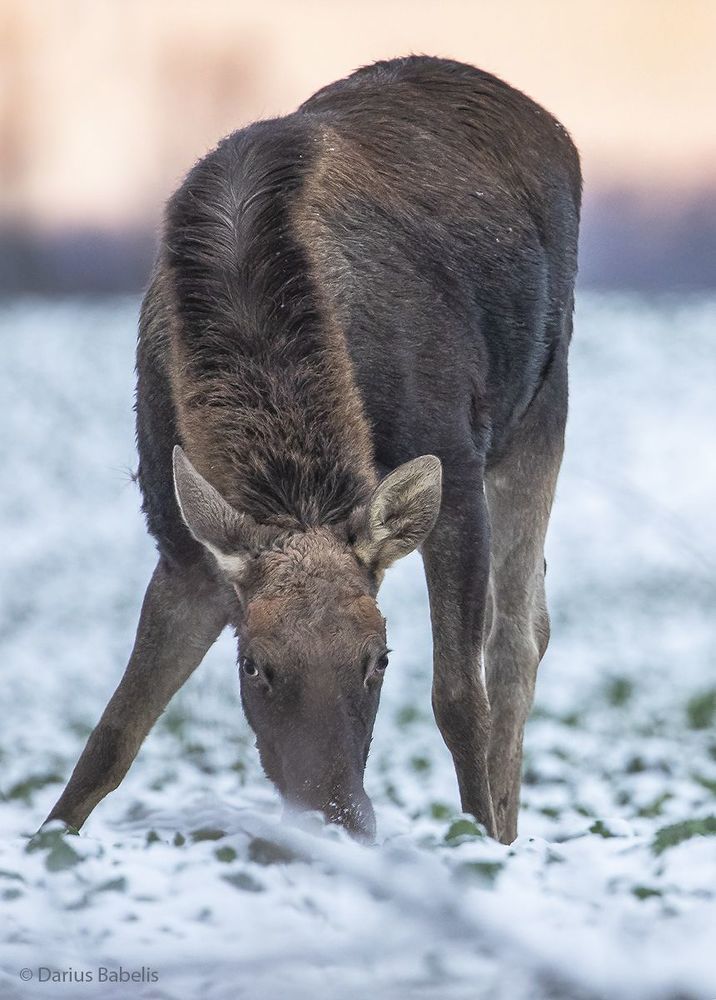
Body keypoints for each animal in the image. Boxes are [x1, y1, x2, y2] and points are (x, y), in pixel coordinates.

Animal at [45, 56, 581, 844]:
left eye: (379, 658)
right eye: (254, 664)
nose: (338, 819)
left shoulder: (453, 463)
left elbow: (457, 698)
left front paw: (477, 844)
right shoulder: (183, 542)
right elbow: (112, 735)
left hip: (542, 402)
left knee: (518, 639)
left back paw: (509, 836)